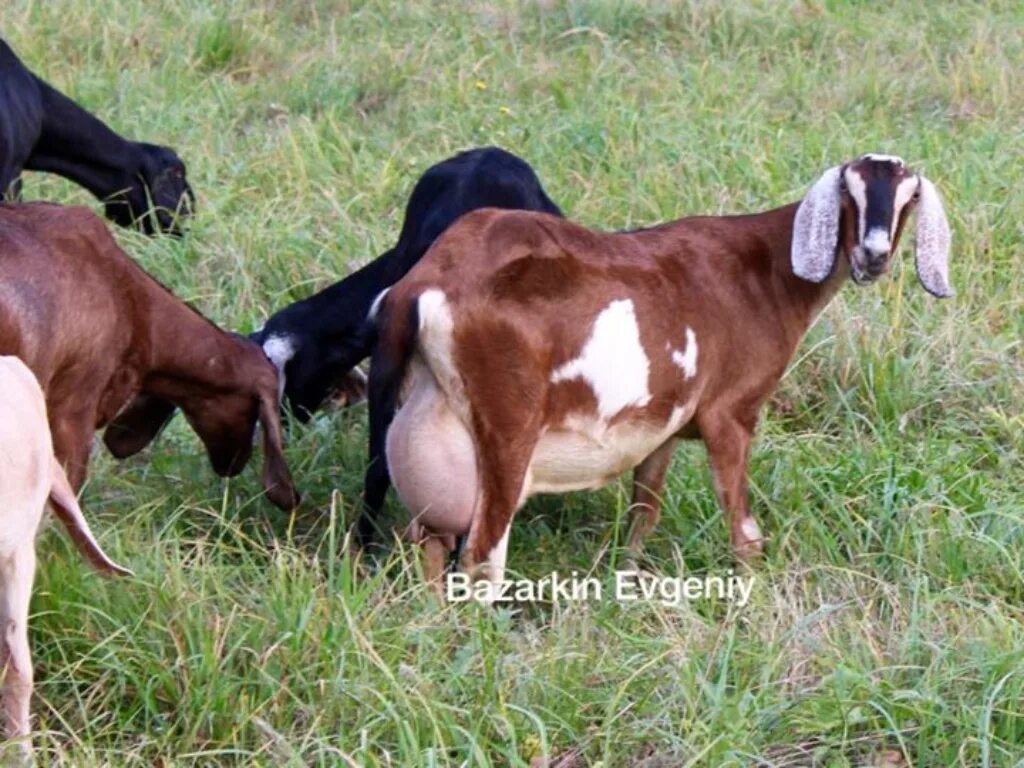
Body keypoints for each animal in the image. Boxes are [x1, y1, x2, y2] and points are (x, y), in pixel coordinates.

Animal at [370, 154, 950, 589]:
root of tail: (427, 285)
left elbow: (643, 512)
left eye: (908, 198)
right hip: (507, 428)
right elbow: (744, 530)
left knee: (430, 542)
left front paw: (625, 578)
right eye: (850, 193)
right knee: (482, 553)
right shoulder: (729, 415)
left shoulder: (661, 427)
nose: (873, 255)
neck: (765, 269)